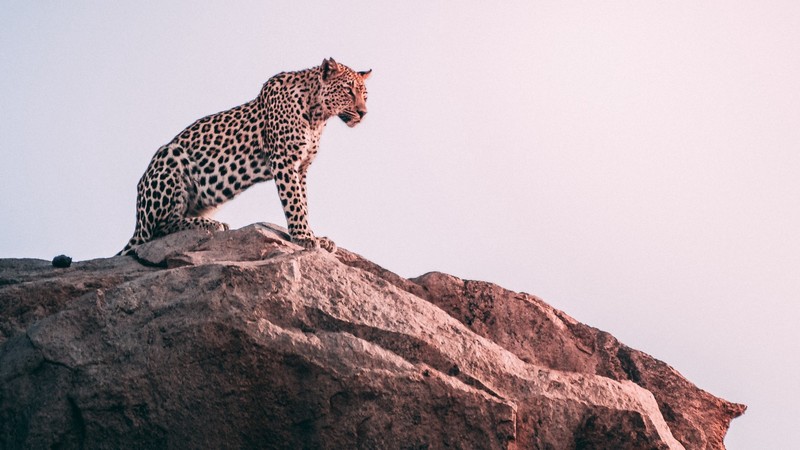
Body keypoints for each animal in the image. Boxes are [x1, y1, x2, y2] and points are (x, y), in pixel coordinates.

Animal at [118, 58, 371, 256]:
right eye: (348, 91)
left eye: (365, 95)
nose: (363, 113)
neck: (318, 115)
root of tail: (137, 222)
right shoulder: (284, 161)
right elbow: (294, 202)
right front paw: (304, 237)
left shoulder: (302, 168)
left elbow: (304, 202)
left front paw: (315, 235)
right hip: (170, 156)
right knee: (158, 229)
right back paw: (211, 224)